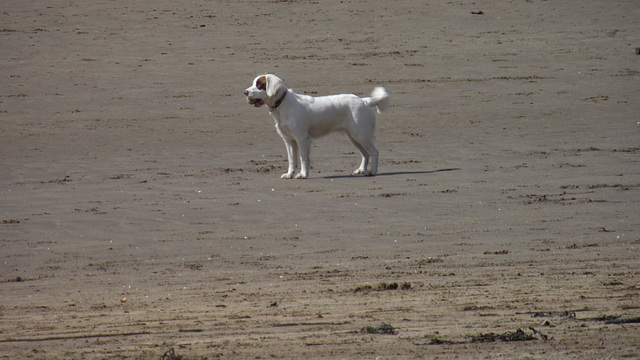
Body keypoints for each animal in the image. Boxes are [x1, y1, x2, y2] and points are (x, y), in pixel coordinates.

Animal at [242, 74, 388, 179]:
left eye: (260, 85)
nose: (245, 92)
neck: (282, 104)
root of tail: (364, 101)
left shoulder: (302, 138)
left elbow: (303, 158)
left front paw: (303, 174)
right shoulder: (289, 140)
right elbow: (291, 159)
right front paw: (289, 174)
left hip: (361, 134)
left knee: (374, 152)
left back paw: (372, 171)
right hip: (353, 137)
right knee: (365, 153)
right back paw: (361, 170)